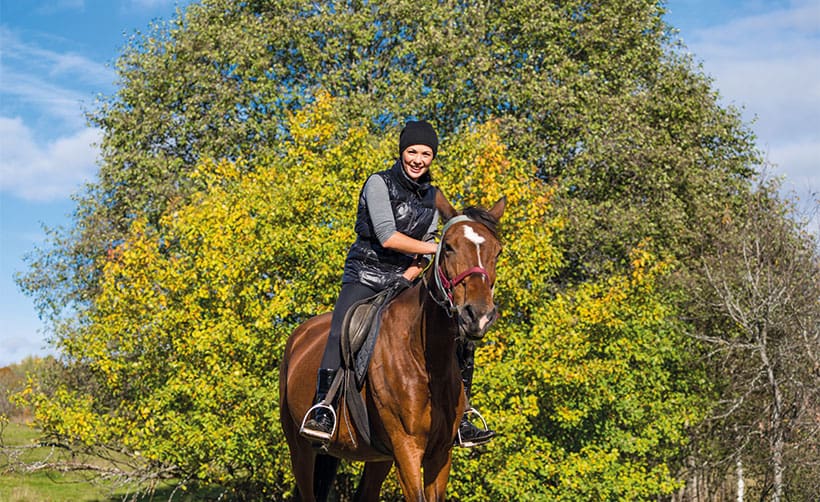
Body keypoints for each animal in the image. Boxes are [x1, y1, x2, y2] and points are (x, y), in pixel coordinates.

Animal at [278, 193, 502, 502]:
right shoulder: (407, 448)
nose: (478, 315)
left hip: (377, 457)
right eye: (448, 248)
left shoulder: (440, 454)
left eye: (497, 252)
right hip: (300, 450)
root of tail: (300, 336)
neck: (426, 359)